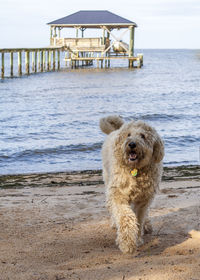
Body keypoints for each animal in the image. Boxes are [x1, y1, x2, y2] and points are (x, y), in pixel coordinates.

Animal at [99, 115, 164, 254]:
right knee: (111, 207)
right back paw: (115, 222)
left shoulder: (143, 199)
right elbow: (126, 217)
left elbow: (139, 217)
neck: (135, 170)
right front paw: (127, 243)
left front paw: (137, 238)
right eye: (128, 135)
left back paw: (147, 225)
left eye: (143, 136)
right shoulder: (119, 195)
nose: (132, 144)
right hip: (108, 180)